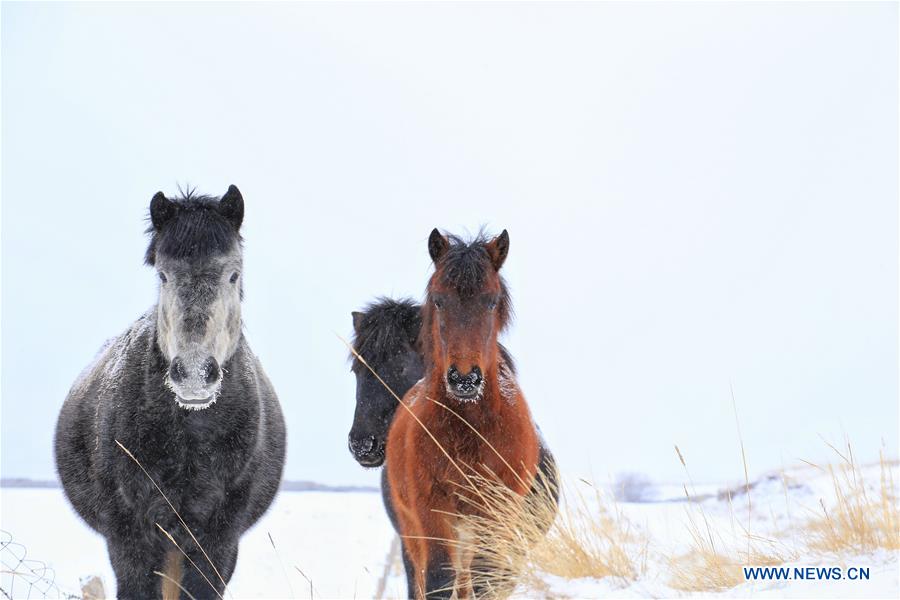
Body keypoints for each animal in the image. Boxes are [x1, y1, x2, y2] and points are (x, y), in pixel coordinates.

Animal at [54, 186, 284, 600]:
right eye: (163, 274)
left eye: (233, 274)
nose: (194, 375)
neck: (189, 441)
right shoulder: (129, 537)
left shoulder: (218, 541)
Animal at [386, 229, 540, 596]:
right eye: (439, 300)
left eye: (491, 301)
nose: (465, 378)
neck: (469, 427)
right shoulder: (431, 510)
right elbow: (439, 579)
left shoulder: (494, 511)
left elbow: (485, 580)